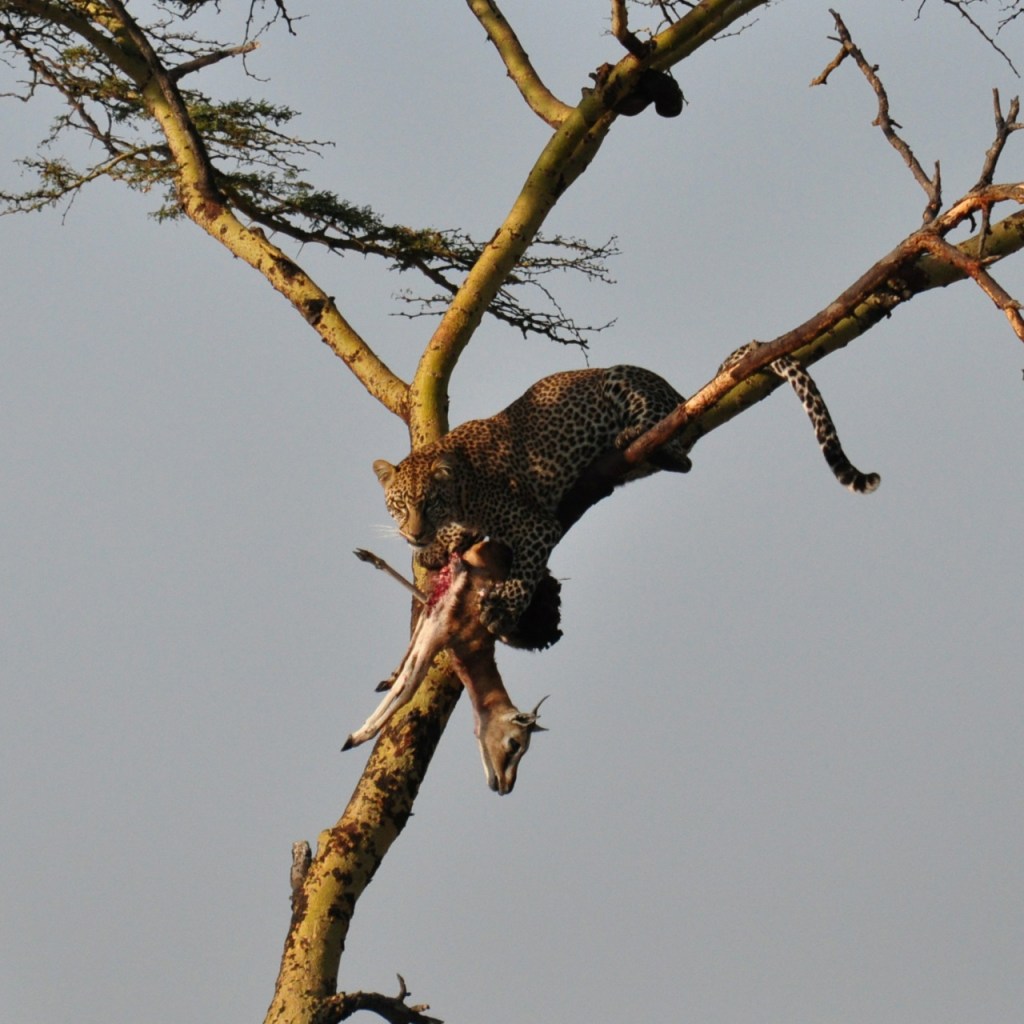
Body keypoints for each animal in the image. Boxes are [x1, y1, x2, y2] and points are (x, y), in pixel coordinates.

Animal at [372, 365, 693, 638]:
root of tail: (677, 392)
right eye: (400, 506)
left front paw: (502, 609)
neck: (462, 487)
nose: (415, 535)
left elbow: (524, 572)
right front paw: (438, 545)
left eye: (431, 503)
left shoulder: (537, 526)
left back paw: (632, 434)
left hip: (622, 378)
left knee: (676, 445)